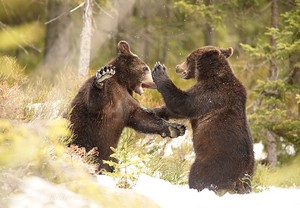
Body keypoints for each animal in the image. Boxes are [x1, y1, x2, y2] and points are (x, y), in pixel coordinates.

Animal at [68, 40, 185, 172]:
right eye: (145, 68)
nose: (155, 82)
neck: (122, 82)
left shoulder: (128, 103)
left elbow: (142, 118)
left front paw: (175, 128)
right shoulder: (109, 96)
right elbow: (95, 104)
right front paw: (102, 76)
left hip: (110, 153)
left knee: (111, 162)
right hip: (80, 139)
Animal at [152, 45, 253, 193]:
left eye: (188, 58)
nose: (177, 67)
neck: (209, 75)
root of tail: (240, 178)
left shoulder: (211, 94)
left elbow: (183, 104)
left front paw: (160, 71)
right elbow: (178, 110)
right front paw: (154, 110)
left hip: (213, 163)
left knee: (198, 176)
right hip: (247, 177)